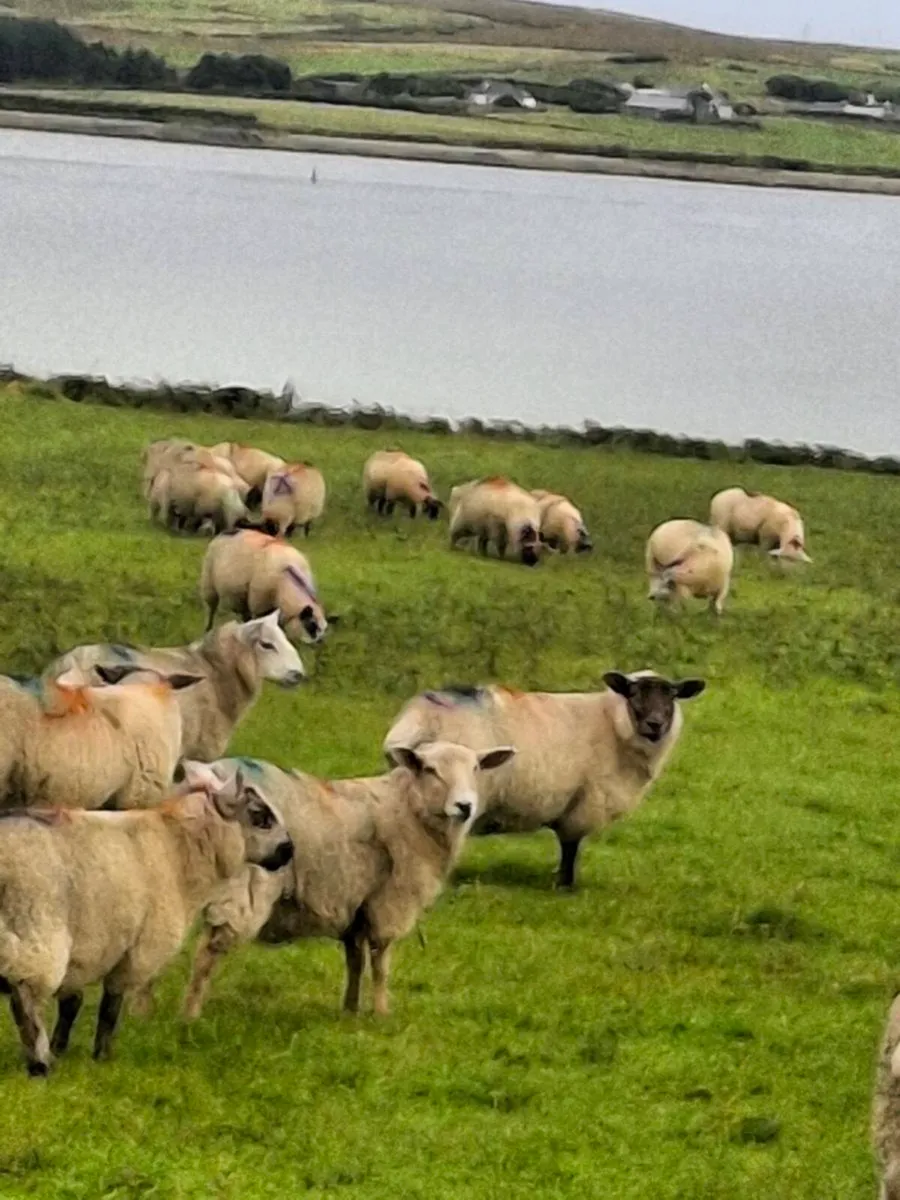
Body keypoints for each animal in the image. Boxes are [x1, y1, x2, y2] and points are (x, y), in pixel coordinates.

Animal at [0, 766, 292, 1074]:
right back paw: (40, 1065)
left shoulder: (86, 946)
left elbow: (72, 1003)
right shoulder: (137, 949)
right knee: (25, 1000)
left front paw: (62, 1047)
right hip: (35, 931)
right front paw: (102, 1056)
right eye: (260, 816)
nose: (289, 850)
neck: (178, 850)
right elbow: (110, 1007)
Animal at [182, 741, 515, 1022]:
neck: (409, 810)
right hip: (246, 886)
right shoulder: (389, 902)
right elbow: (381, 963)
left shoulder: (355, 904)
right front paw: (382, 1014)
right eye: (429, 769)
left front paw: (350, 1011)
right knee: (206, 953)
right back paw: (191, 1016)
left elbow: (355, 960)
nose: (465, 806)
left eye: (476, 768)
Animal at [201, 530, 330, 644]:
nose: (319, 645)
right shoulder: (260, 607)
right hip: (208, 584)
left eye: (323, 629)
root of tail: (226, 531)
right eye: (312, 626)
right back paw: (208, 629)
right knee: (211, 609)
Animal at [383, 670, 705, 890]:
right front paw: (565, 884)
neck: (612, 724)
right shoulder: (585, 801)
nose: (656, 724)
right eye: (633, 693)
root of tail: (418, 720)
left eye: (672, 696)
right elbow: (570, 845)